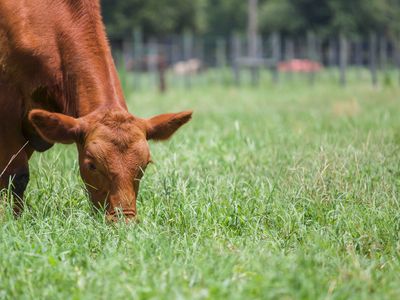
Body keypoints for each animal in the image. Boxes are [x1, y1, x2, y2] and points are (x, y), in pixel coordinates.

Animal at [0, 0, 192, 220]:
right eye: (91, 165)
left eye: (144, 166)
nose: (123, 221)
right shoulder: (8, 110)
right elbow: (16, 175)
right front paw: (12, 220)